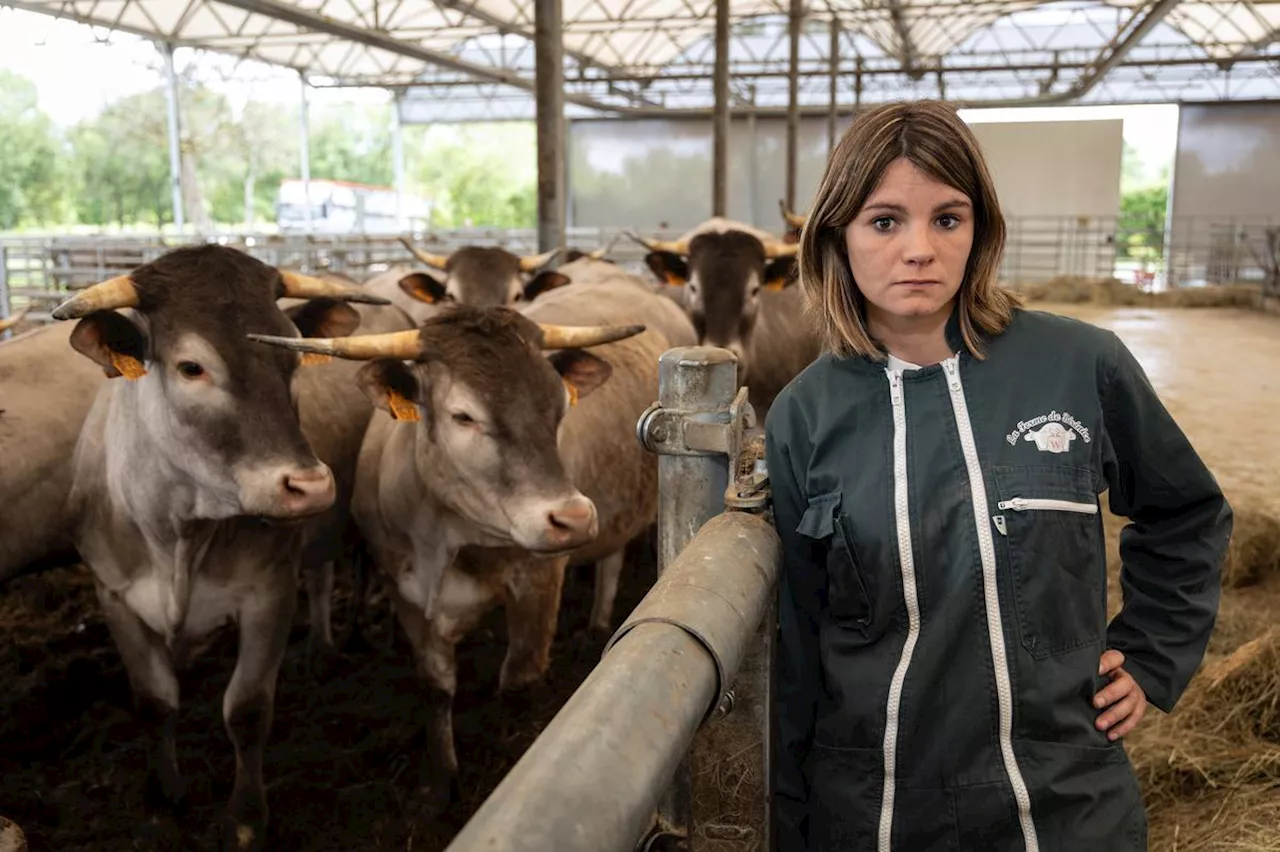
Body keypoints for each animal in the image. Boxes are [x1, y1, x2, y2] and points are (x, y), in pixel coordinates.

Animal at [53, 241, 384, 844]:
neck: (178, 533)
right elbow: (154, 701)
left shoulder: (268, 593)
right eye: (192, 367)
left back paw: (332, 642)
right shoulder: (114, 596)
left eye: (292, 357)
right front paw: (164, 796)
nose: (309, 485)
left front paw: (246, 817)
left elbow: (247, 710)